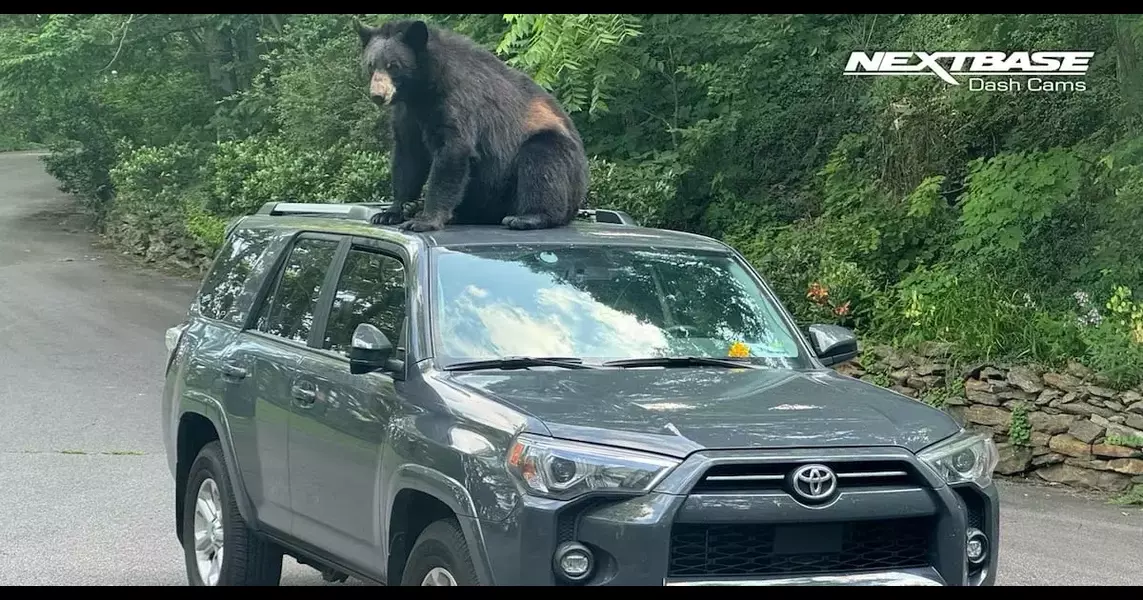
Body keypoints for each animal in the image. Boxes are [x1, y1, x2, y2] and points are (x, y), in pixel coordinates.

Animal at [356, 18, 589, 229]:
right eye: (371, 65)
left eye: (393, 66)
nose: (378, 95)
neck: (421, 90)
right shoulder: (408, 113)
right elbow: (408, 155)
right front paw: (390, 212)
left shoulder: (457, 101)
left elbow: (453, 151)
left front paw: (424, 220)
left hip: (554, 155)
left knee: (542, 162)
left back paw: (528, 217)